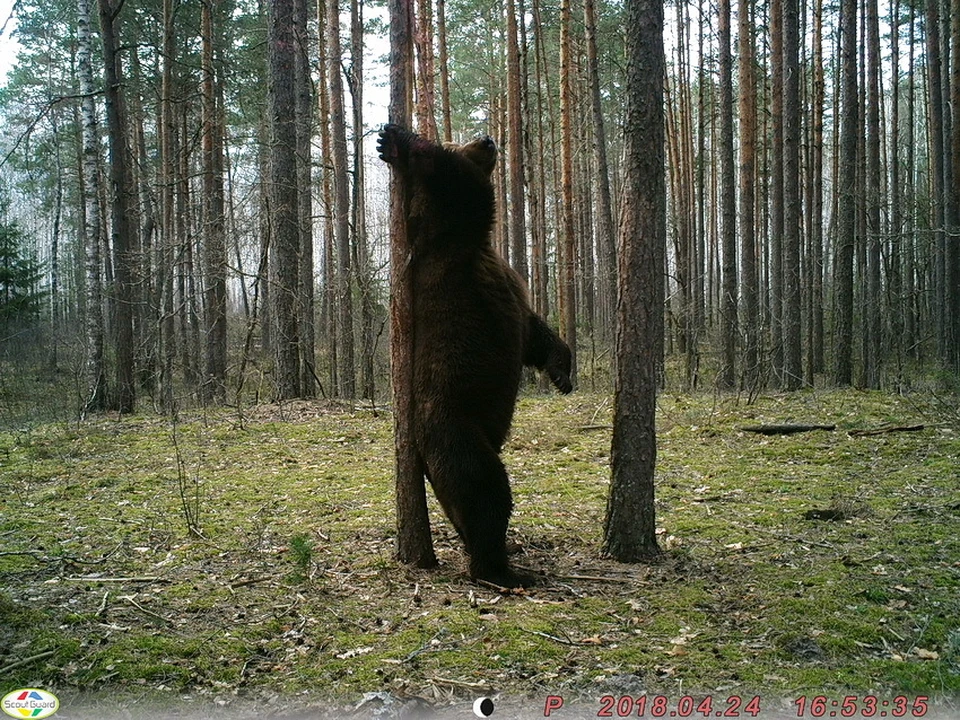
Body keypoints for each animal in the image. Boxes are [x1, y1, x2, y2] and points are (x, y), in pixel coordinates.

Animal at [376, 121, 568, 588]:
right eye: (458, 139)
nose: (488, 139)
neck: (477, 244)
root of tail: (422, 456)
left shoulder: (510, 297)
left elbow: (536, 334)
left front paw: (563, 373)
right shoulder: (452, 233)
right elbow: (458, 184)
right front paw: (396, 140)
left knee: (468, 508)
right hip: (457, 430)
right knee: (486, 489)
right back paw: (505, 570)